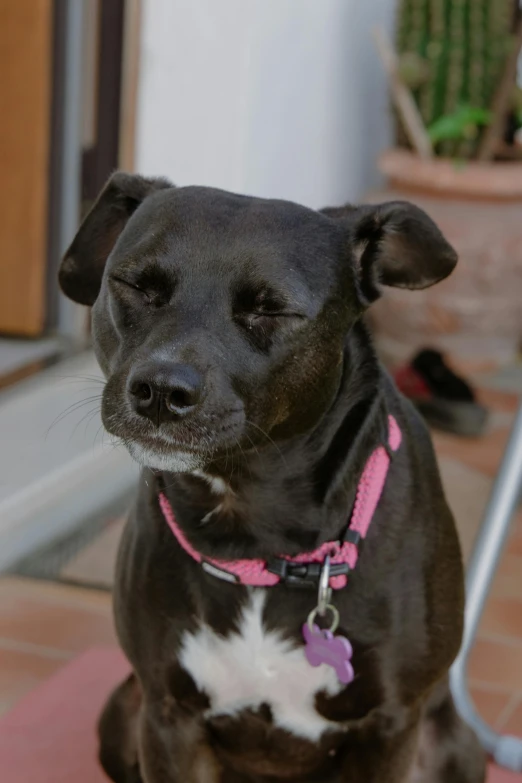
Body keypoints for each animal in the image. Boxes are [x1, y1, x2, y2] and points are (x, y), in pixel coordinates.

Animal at [59, 173, 482, 783]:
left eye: (272, 310)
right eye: (136, 285)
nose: (161, 391)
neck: (255, 535)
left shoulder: (391, 725)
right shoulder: (167, 715)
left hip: (448, 743)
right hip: (122, 710)